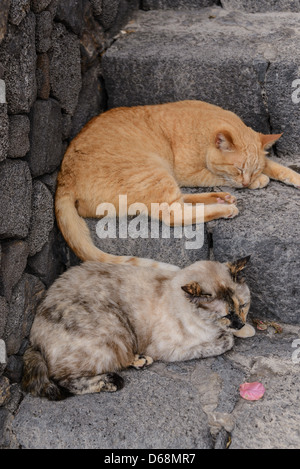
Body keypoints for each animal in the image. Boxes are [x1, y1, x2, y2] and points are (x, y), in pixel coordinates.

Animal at [22, 256, 254, 398]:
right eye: (226, 315)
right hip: (114, 329)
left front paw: (247, 330)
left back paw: (140, 360)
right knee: (63, 380)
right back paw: (110, 382)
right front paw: (231, 336)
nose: (240, 322)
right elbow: (223, 343)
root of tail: (33, 340)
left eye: (243, 306)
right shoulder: (171, 349)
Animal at [55, 99, 298, 266]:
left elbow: (274, 166)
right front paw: (258, 181)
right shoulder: (189, 173)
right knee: (174, 214)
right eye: (238, 169)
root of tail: (63, 179)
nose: (248, 181)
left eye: (252, 169)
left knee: (183, 201)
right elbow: (220, 176)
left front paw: (290, 177)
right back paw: (225, 207)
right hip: (156, 172)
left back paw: (221, 197)